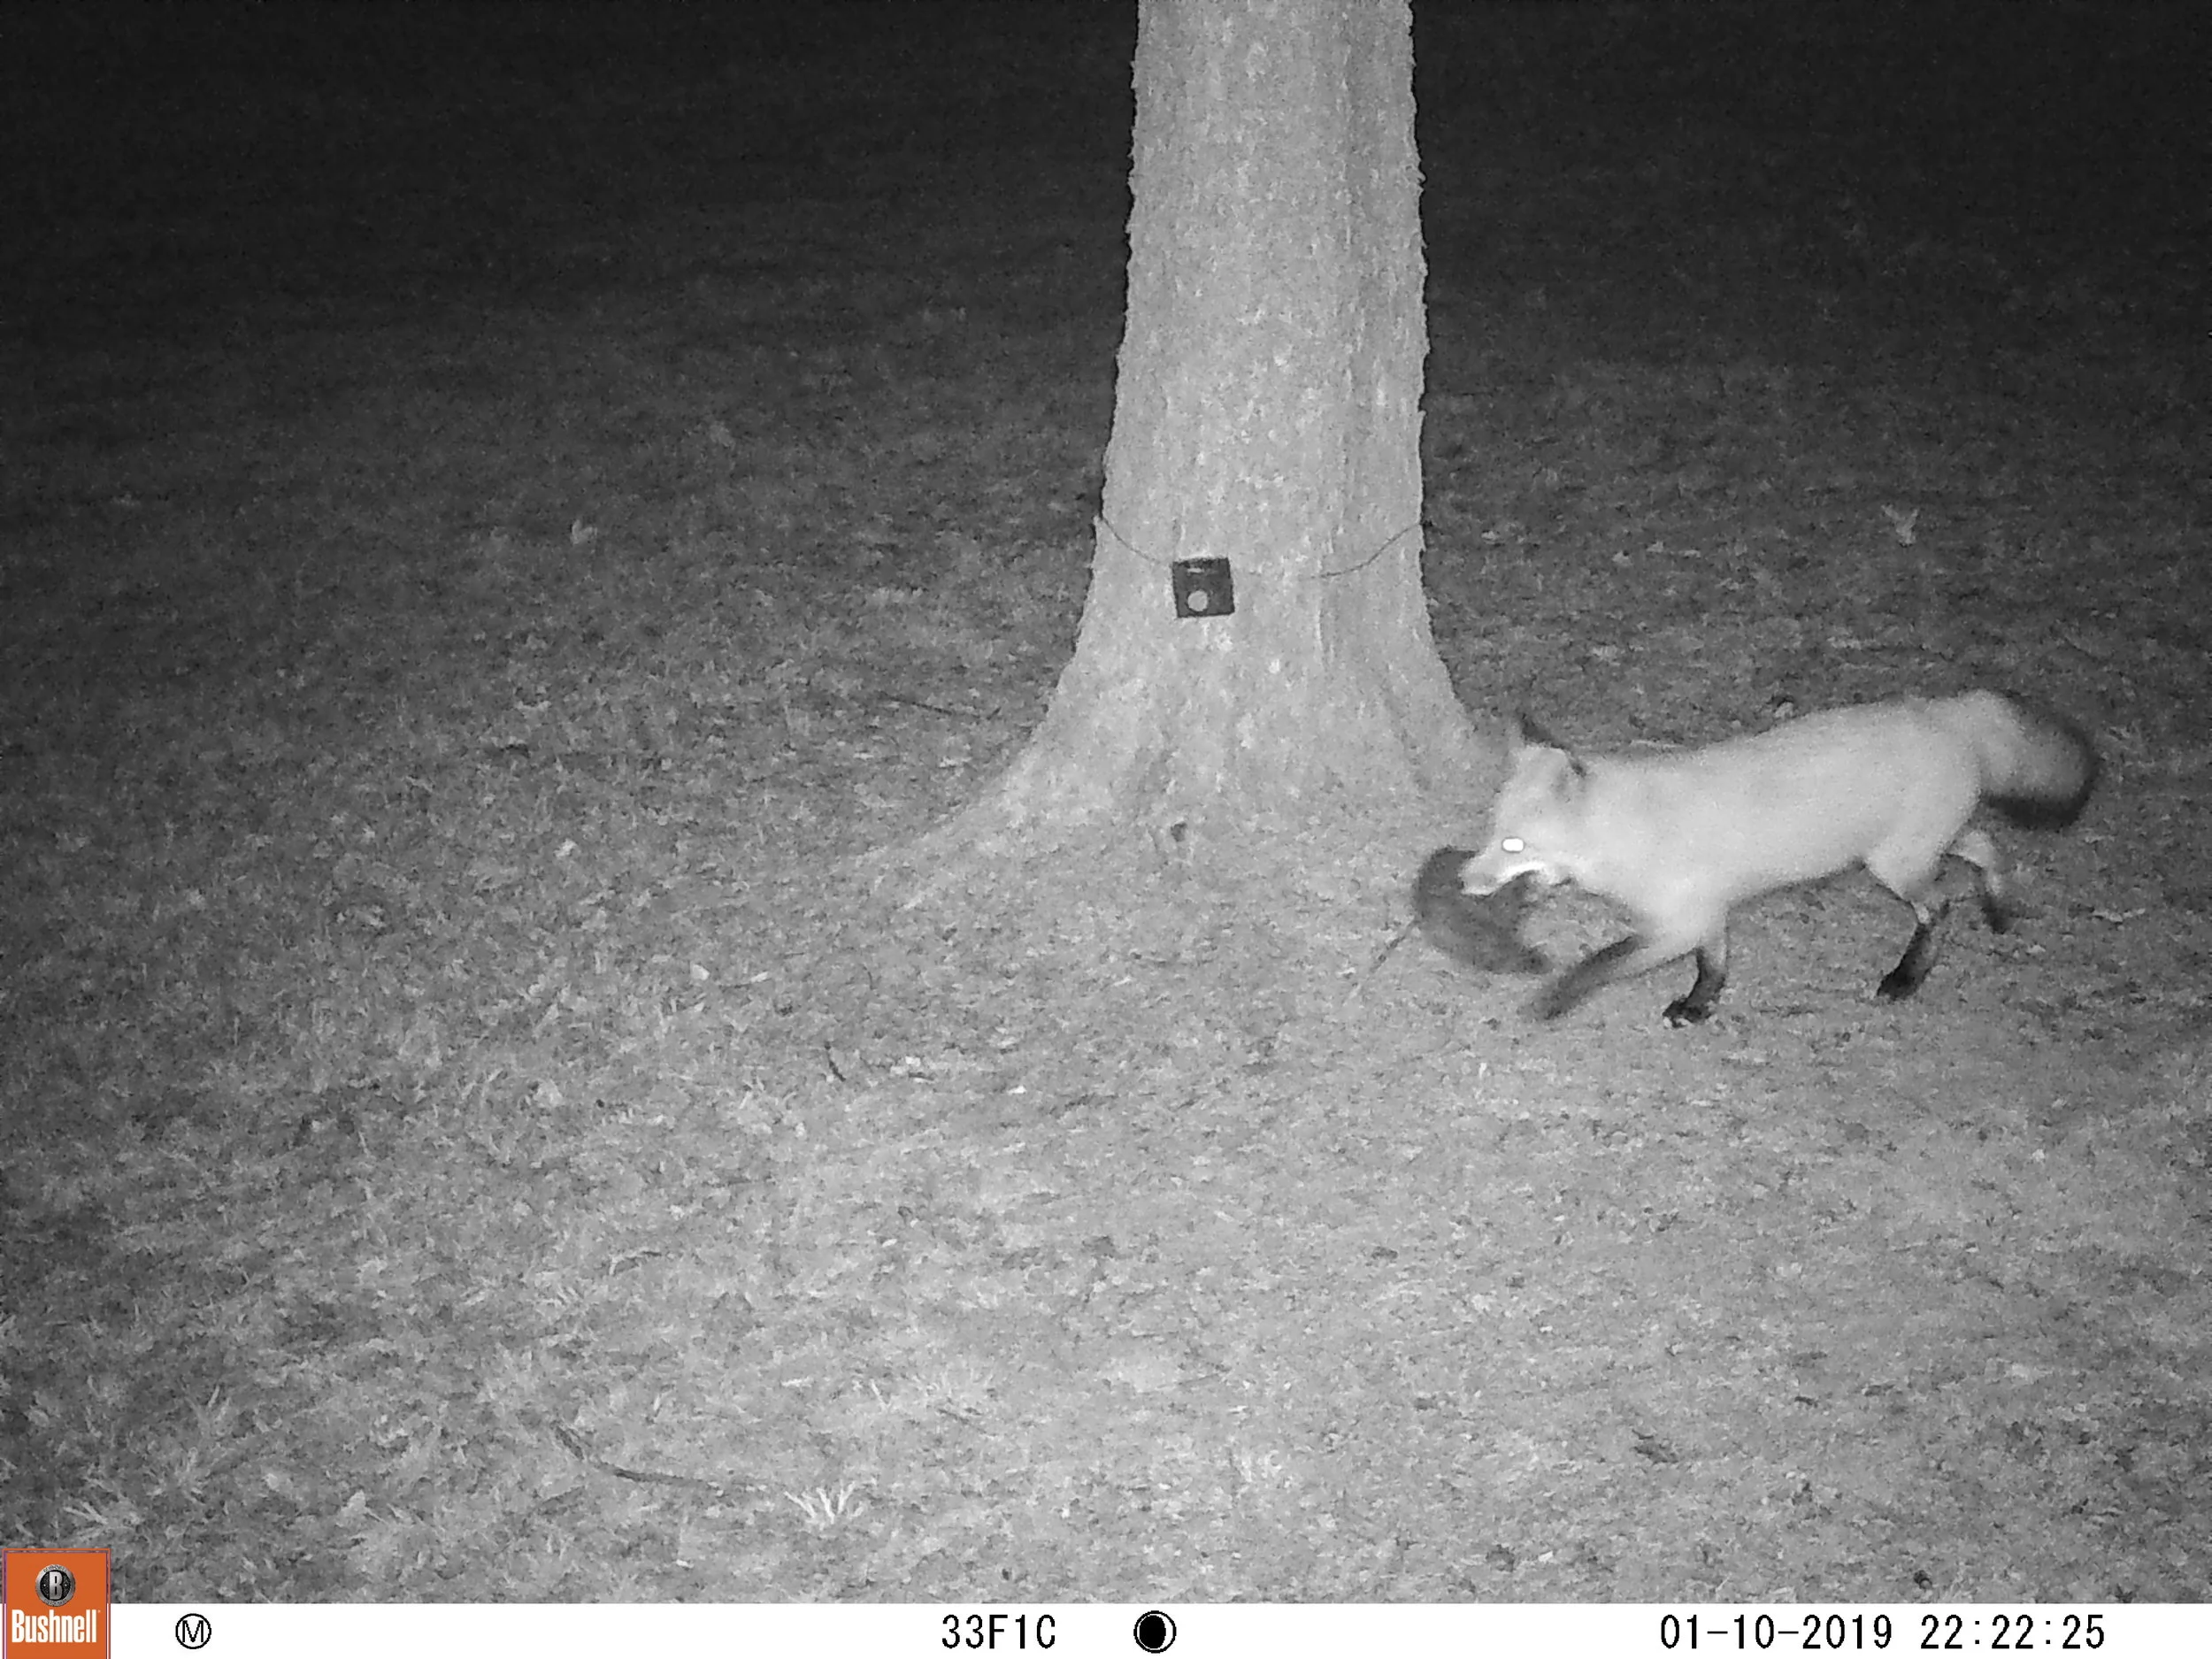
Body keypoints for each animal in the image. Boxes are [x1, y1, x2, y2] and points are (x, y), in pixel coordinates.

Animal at [1441, 691, 2099, 1025]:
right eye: (1493, 832)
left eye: (1515, 845)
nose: (1464, 881)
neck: (1632, 832)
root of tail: (1948, 708)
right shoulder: (1707, 914)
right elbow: (1714, 966)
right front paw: (1699, 1007)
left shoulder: (1677, 923)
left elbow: (1597, 964)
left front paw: (1551, 1002)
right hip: (1912, 847)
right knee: (1986, 847)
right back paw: (1999, 908)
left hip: (1894, 865)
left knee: (1940, 905)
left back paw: (1907, 977)